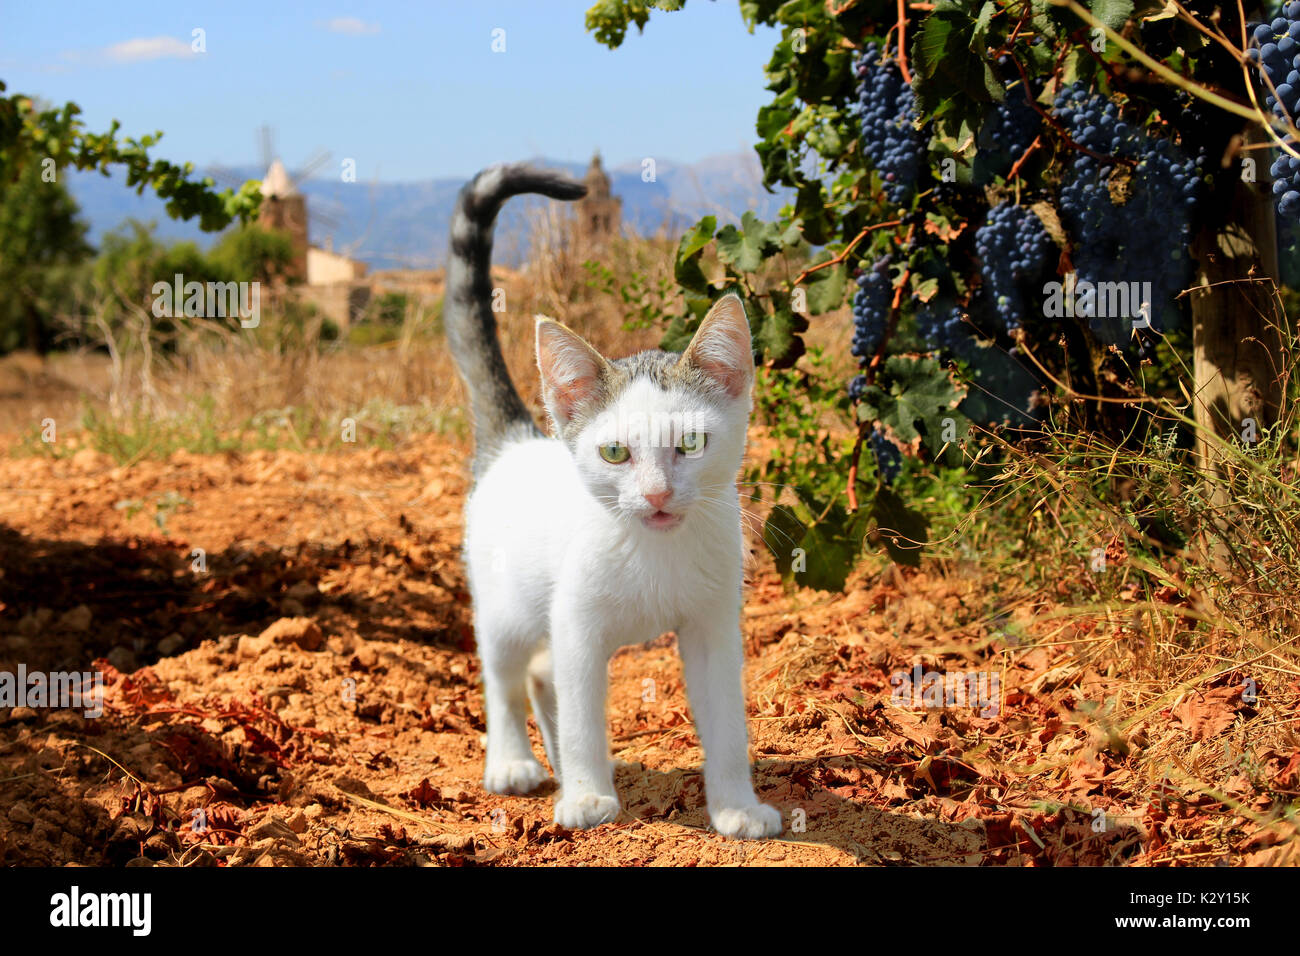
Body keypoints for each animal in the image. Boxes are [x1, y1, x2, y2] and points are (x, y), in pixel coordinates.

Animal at [444, 164, 780, 837]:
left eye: (691, 444)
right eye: (616, 453)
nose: (656, 494)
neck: (656, 552)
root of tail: (516, 440)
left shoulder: (713, 624)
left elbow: (727, 723)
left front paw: (737, 807)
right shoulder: (576, 622)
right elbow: (581, 718)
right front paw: (585, 796)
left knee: (539, 676)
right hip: (506, 604)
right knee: (506, 676)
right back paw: (515, 763)